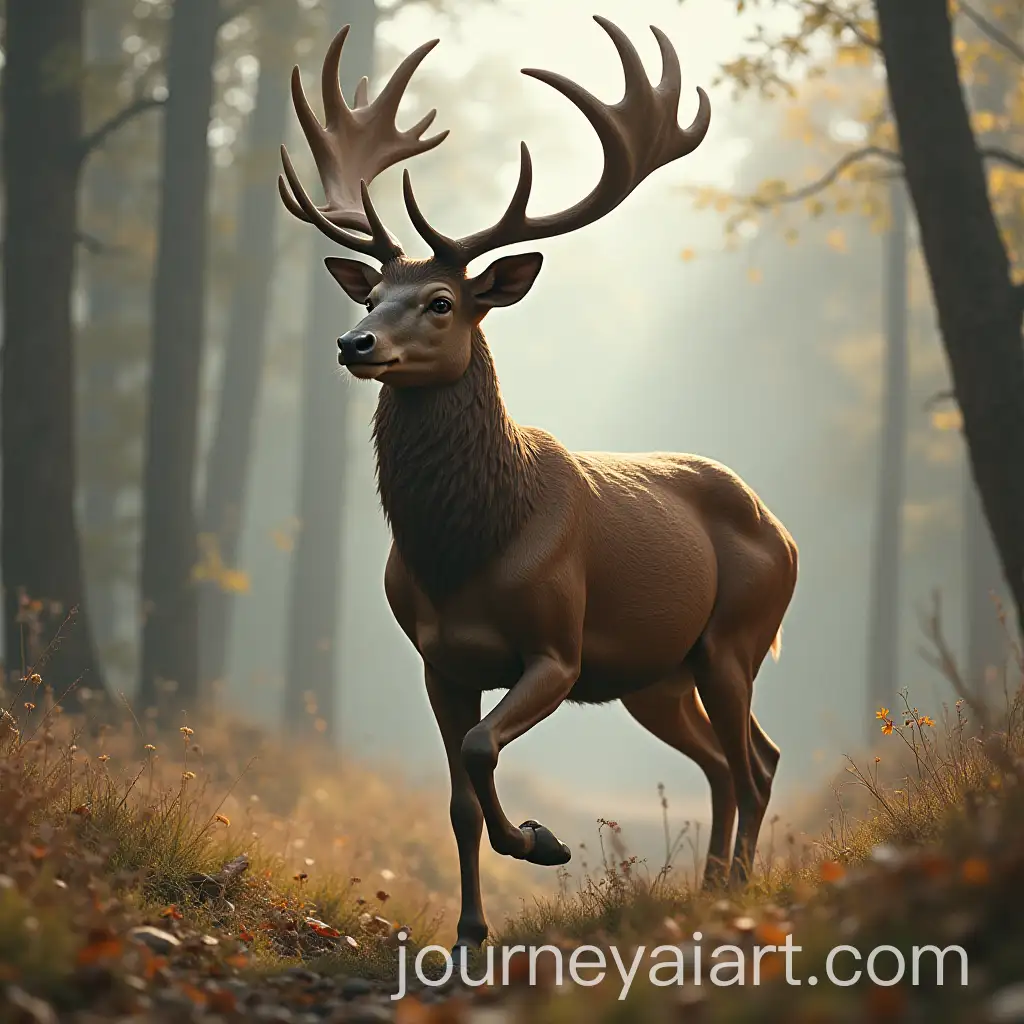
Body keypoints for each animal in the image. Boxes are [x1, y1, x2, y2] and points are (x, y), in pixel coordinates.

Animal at [279, 16, 798, 957]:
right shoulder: (439, 659)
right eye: (372, 294)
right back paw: (708, 886)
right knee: (724, 761)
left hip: (738, 635)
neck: (464, 549)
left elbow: (483, 750)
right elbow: (454, 797)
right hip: (657, 675)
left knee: (754, 763)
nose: (353, 343)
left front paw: (542, 842)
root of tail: (785, 533)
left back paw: (736, 891)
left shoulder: (558, 646)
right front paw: (469, 932)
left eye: (441, 301)